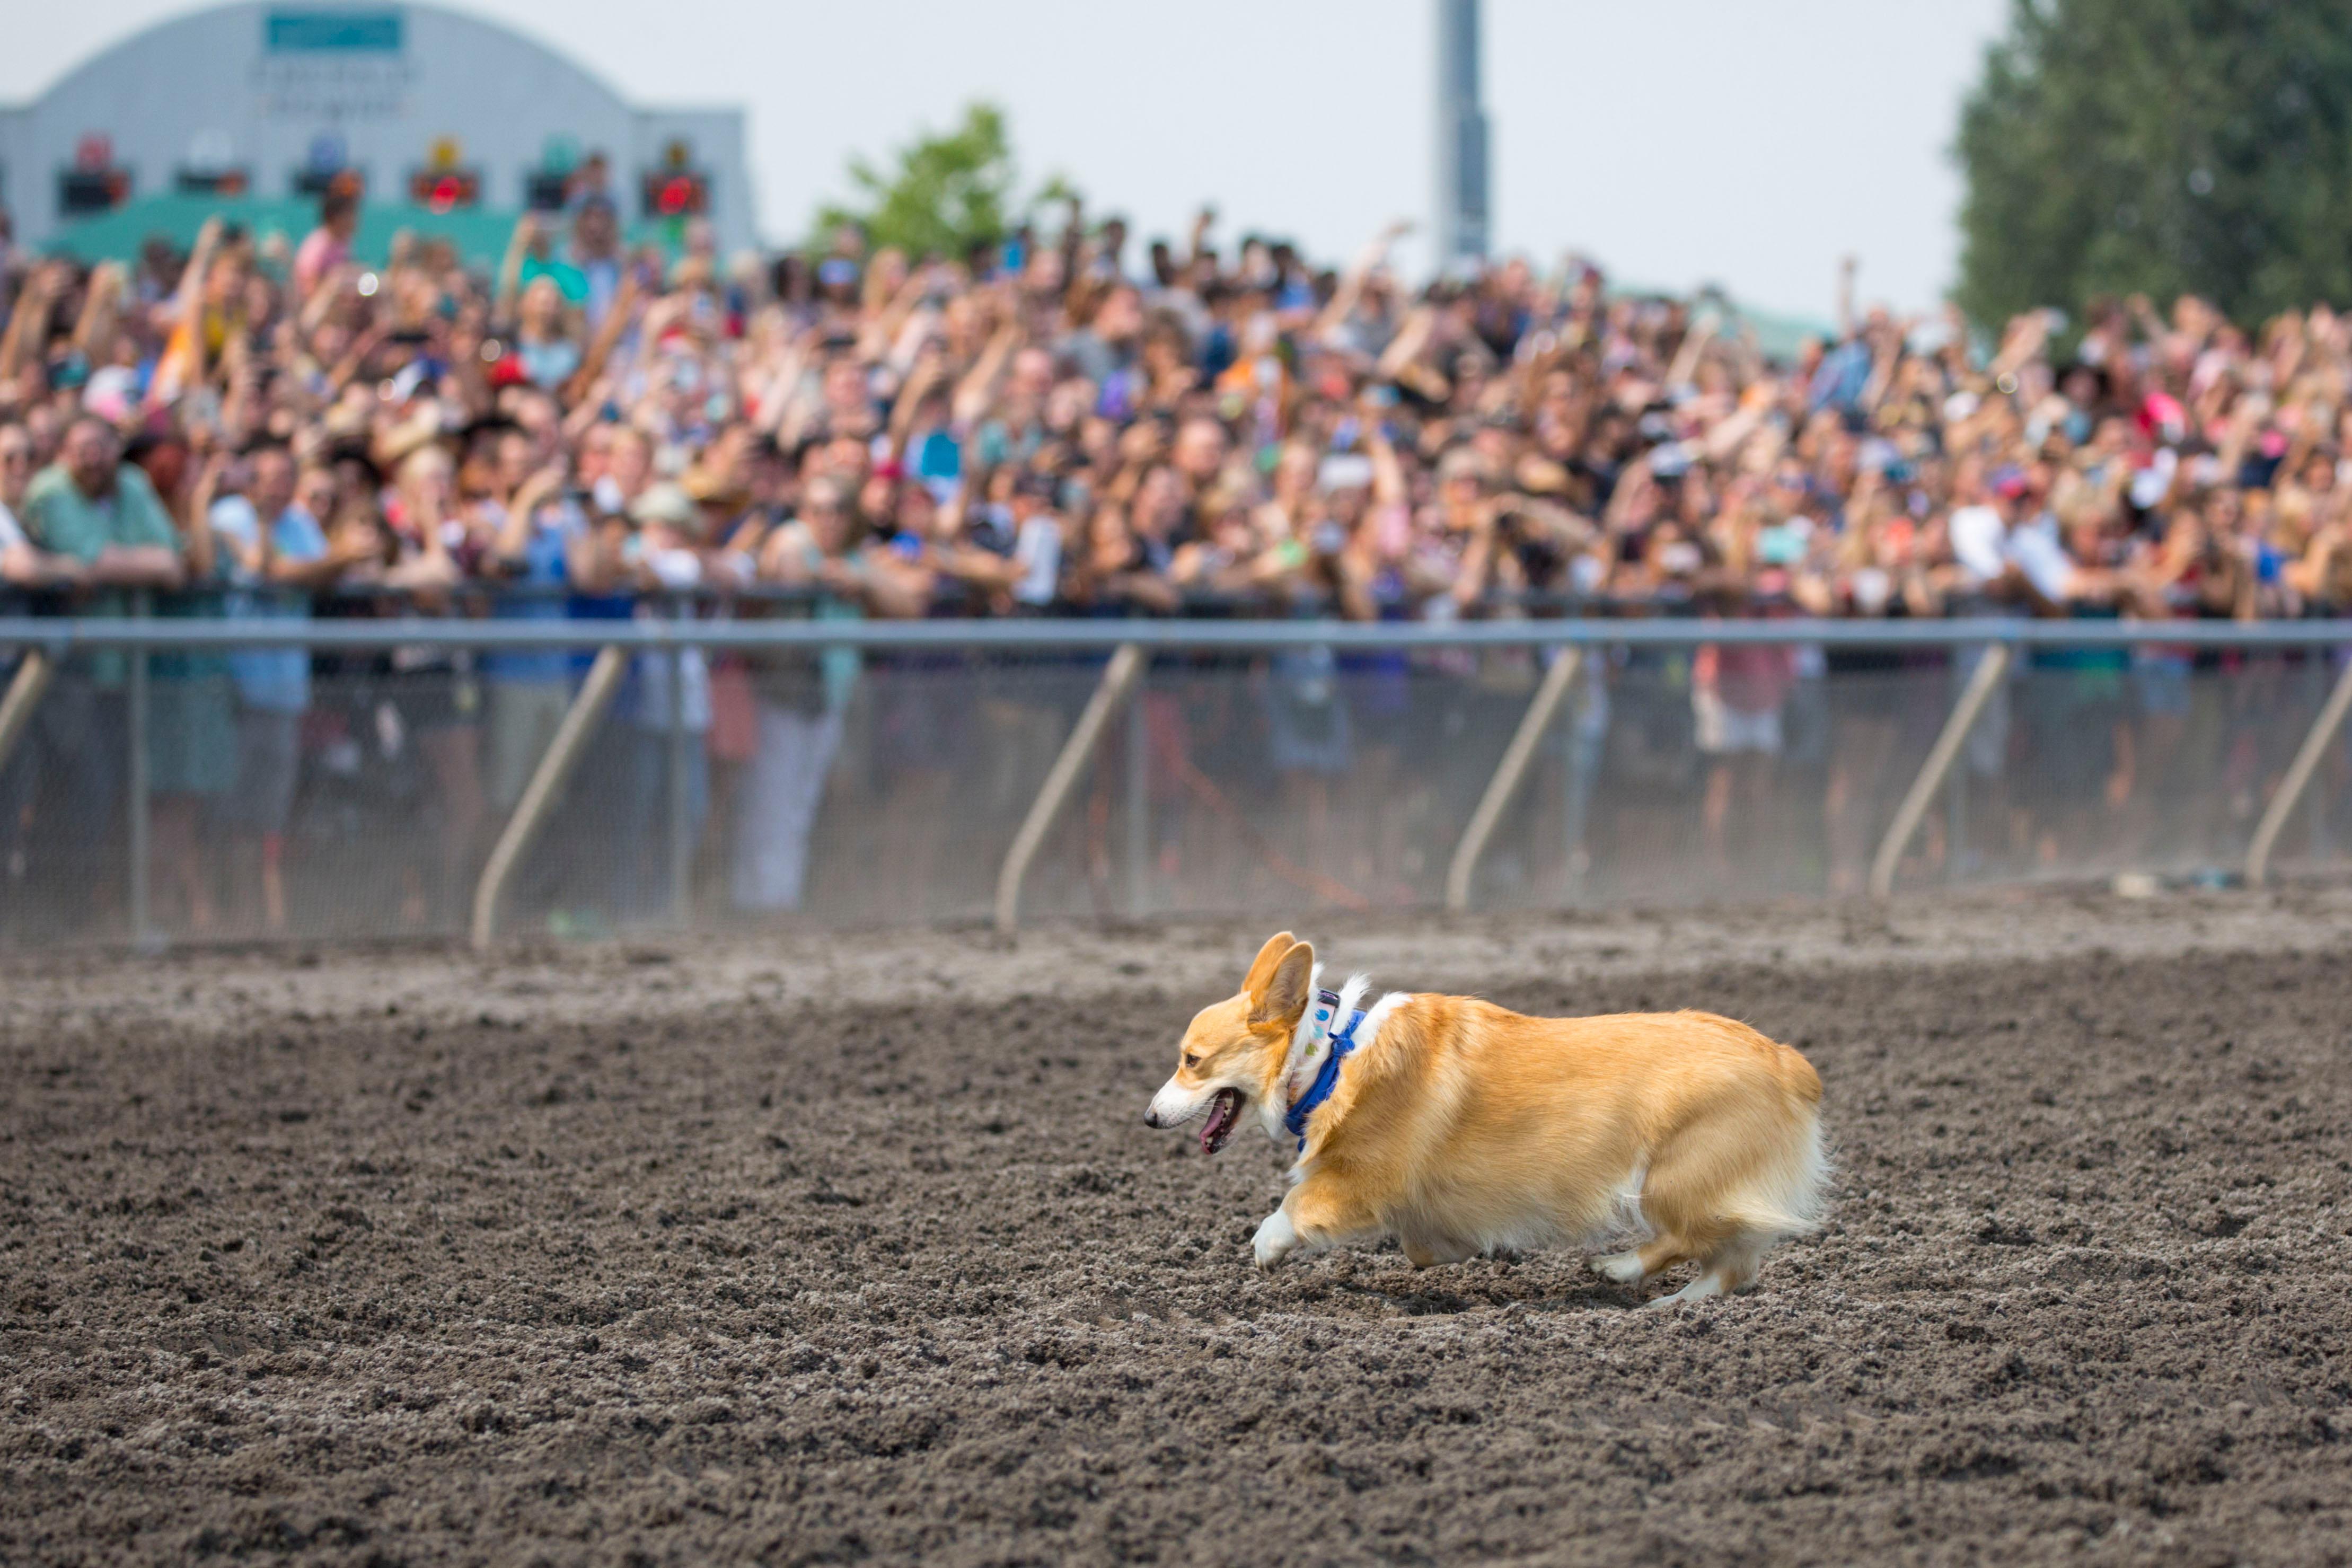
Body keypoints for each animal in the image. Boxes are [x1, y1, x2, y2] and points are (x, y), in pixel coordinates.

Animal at [1148, 931, 1825, 1298]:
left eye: (1192, 1061)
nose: (1150, 1119)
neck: (1328, 1058)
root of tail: (1788, 1060)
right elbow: (1423, 1249)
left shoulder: (1361, 1183)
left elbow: (1293, 1207)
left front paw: (1265, 1248)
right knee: (1730, 1263)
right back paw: (1674, 1306)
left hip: (1672, 1177)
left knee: (1692, 1238)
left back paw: (1618, 1268)